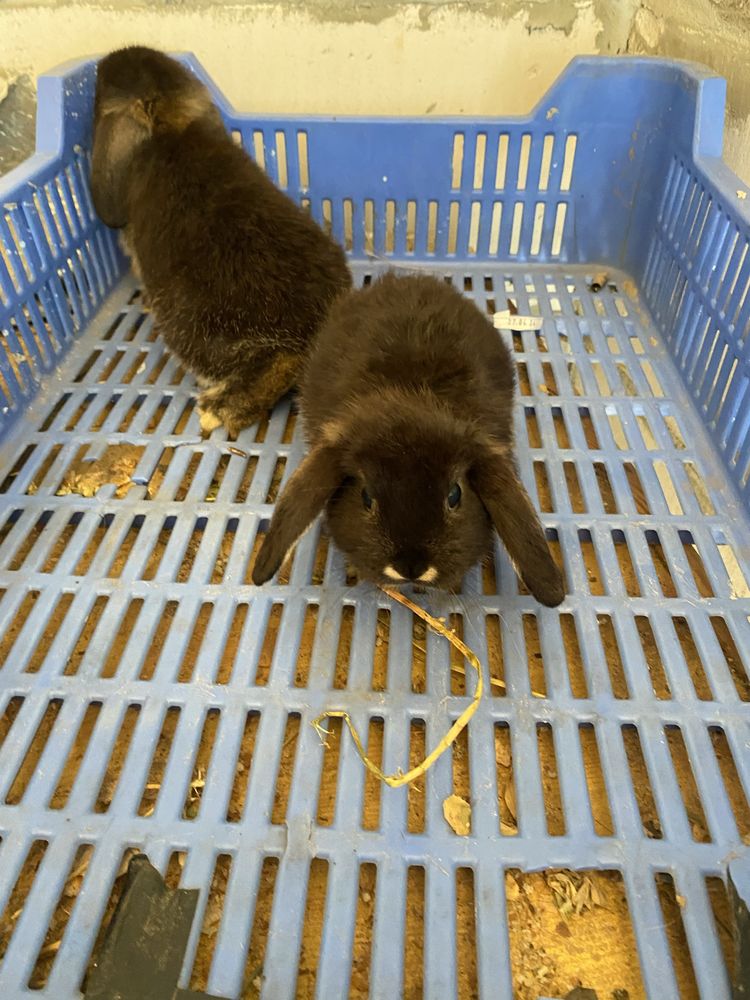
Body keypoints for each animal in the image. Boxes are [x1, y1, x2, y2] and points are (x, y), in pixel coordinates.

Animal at [89, 45, 352, 434]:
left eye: (101, 87)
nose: (102, 63)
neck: (171, 128)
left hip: (200, 334)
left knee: (275, 364)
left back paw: (216, 410)